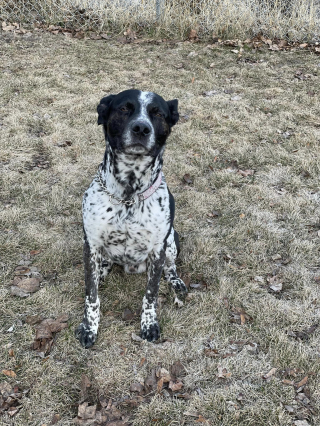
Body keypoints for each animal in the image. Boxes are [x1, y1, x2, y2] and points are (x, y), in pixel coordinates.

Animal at [75, 90, 186, 350]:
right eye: (124, 109)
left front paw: (149, 324)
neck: (128, 194)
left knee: (171, 267)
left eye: (158, 113)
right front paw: (89, 327)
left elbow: (151, 295)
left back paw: (176, 281)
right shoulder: (91, 245)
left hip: (171, 241)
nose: (141, 128)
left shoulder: (158, 249)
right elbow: (91, 295)